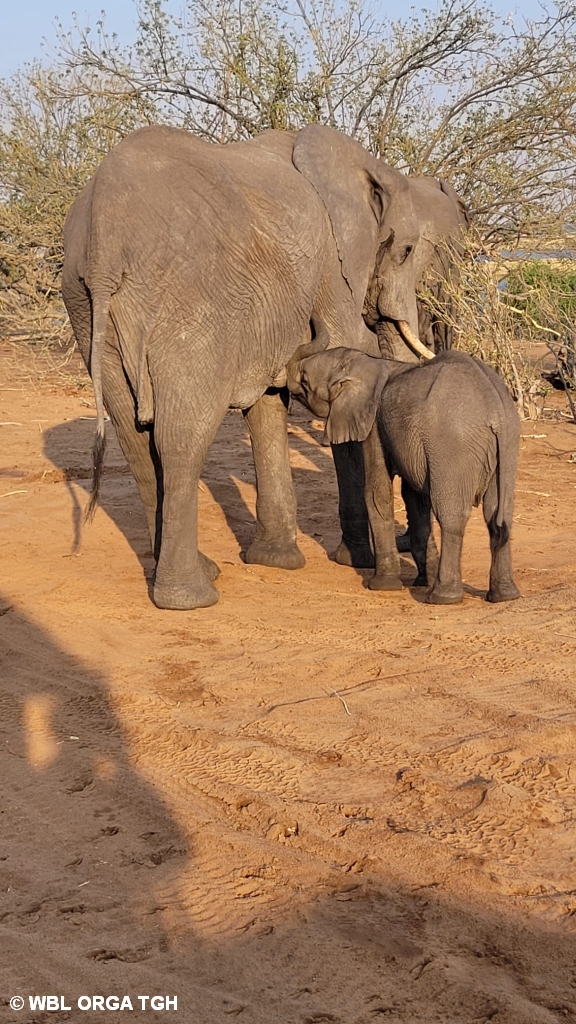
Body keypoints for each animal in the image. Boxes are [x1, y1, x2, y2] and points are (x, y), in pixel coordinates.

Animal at [62, 124, 424, 610]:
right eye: (406, 250)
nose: (404, 544)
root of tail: (104, 231)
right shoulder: (331, 265)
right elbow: (344, 348)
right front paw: (355, 560)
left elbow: (268, 403)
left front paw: (277, 562)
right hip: (191, 301)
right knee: (182, 436)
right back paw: (190, 597)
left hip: (87, 309)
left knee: (134, 438)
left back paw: (196, 572)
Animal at [291, 348, 520, 602]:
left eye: (304, 380)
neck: (370, 364)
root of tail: (496, 412)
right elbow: (415, 498)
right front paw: (423, 580)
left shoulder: (373, 424)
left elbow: (377, 492)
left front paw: (382, 586)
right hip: (509, 444)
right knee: (499, 516)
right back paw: (504, 596)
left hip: (453, 445)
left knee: (452, 517)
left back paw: (442, 598)